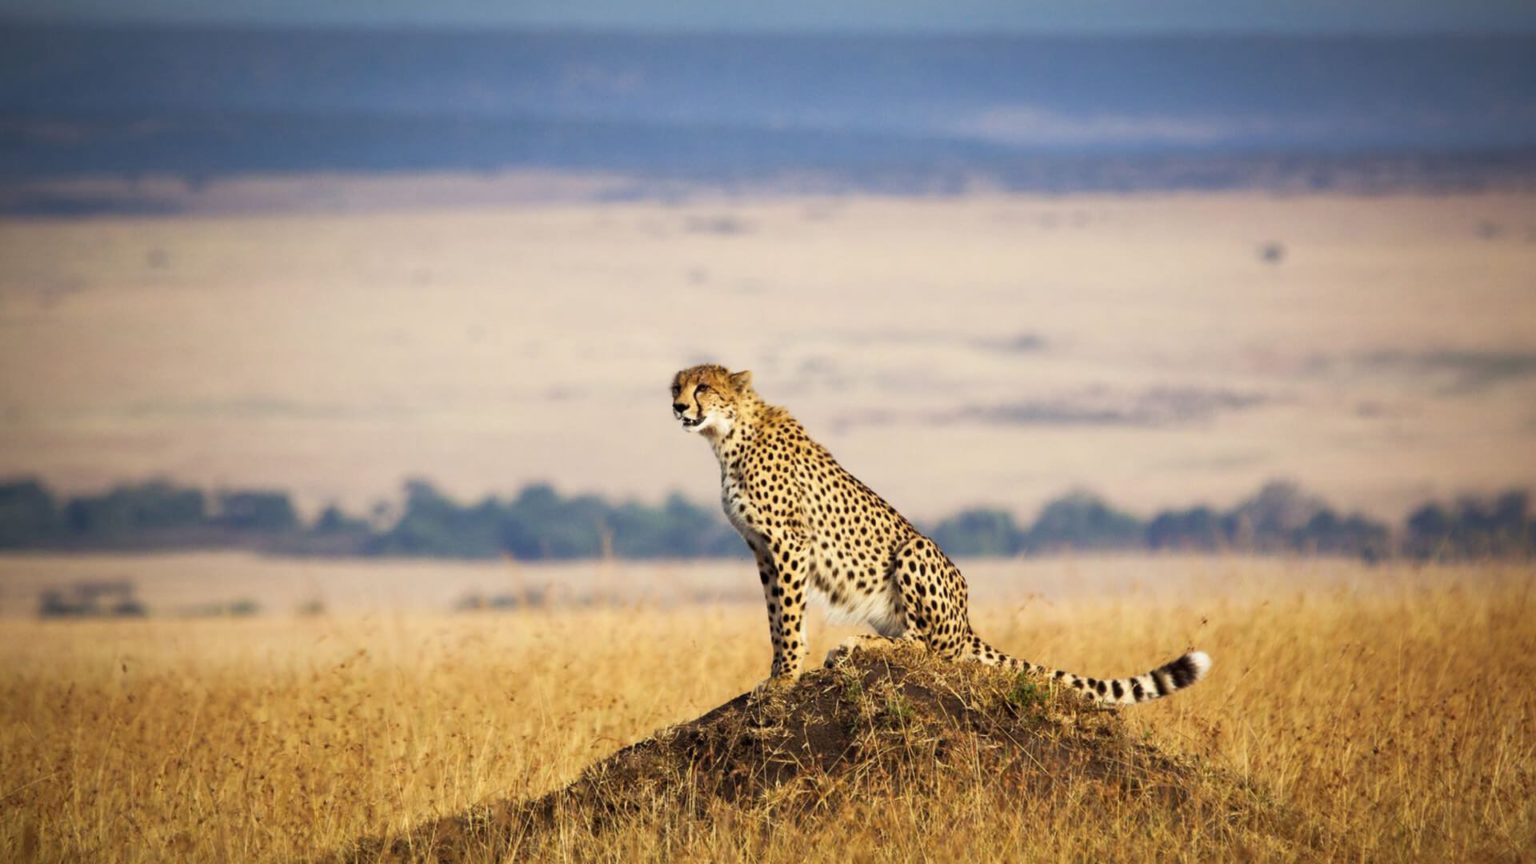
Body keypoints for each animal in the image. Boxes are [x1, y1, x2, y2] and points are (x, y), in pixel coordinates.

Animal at [672, 359, 1210, 704]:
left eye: (703, 388)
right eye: (676, 386)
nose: (678, 408)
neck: (727, 436)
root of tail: (967, 621)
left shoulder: (787, 543)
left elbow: (787, 618)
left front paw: (784, 678)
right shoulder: (762, 549)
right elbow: (775, 617)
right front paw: (778, 671)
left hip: (915, 549)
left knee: (930, 647)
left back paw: (856, 645)